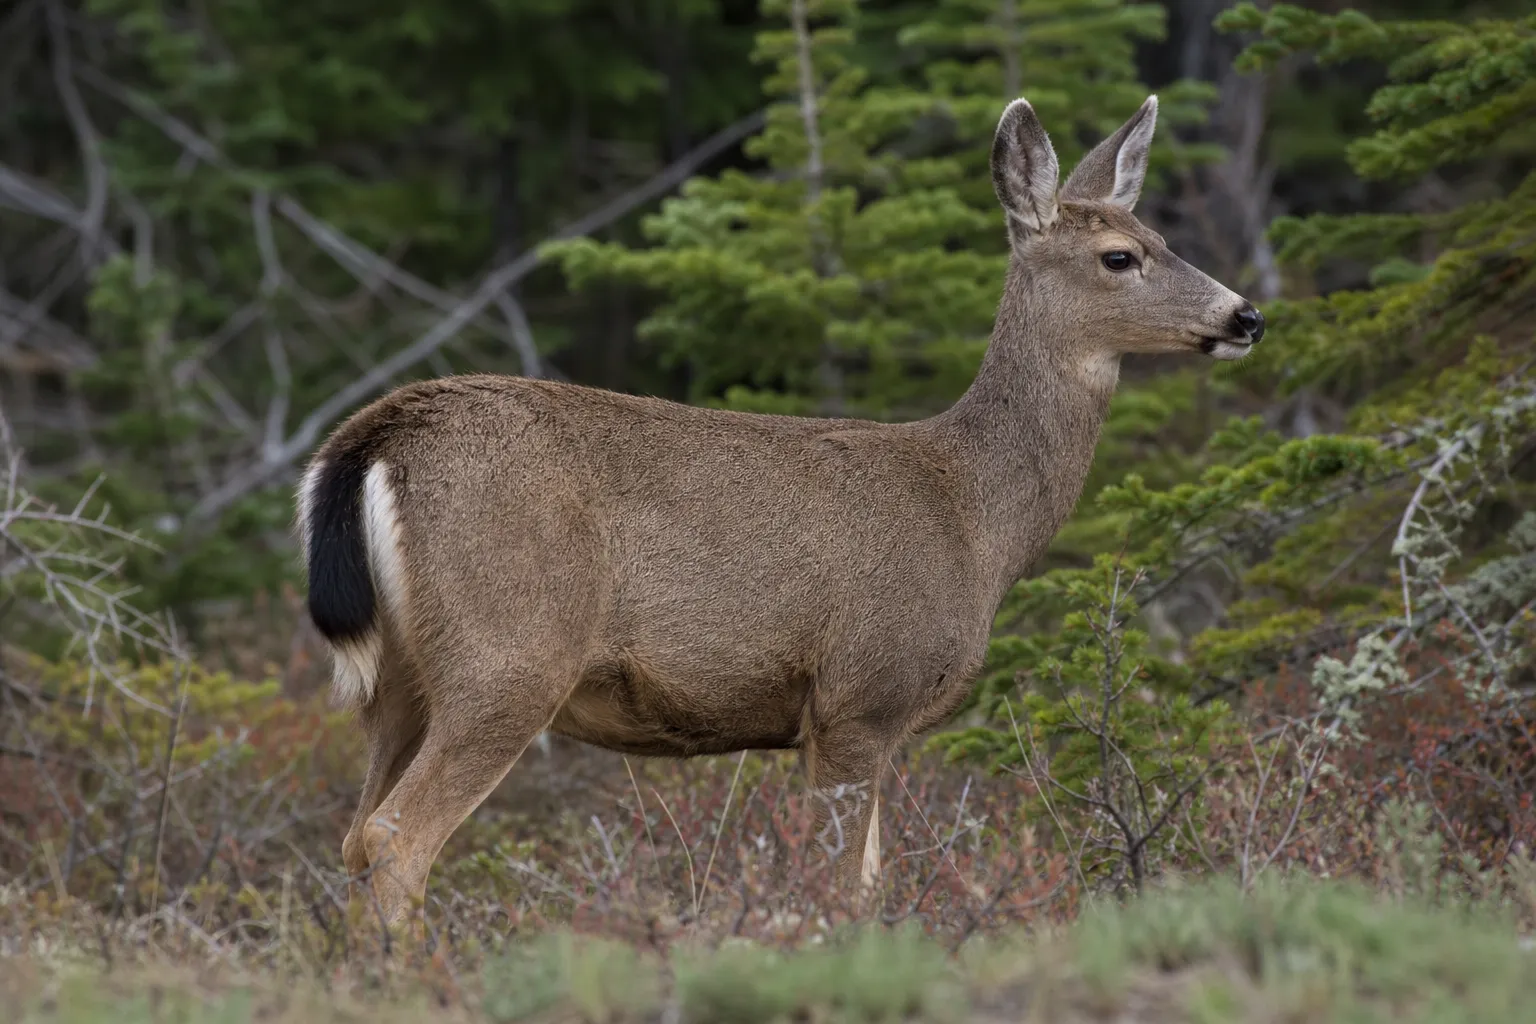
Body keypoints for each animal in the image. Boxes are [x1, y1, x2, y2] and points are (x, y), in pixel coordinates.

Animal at [298, 93, 1265, 925]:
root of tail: (374, 439)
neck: (974, 515)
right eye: (1119, 257)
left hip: (397, 681)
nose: (1246, 315)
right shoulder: (861, 694)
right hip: (508, 649)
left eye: (1160, 234)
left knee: (353, 836)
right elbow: (849, 887)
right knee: (398, 837)